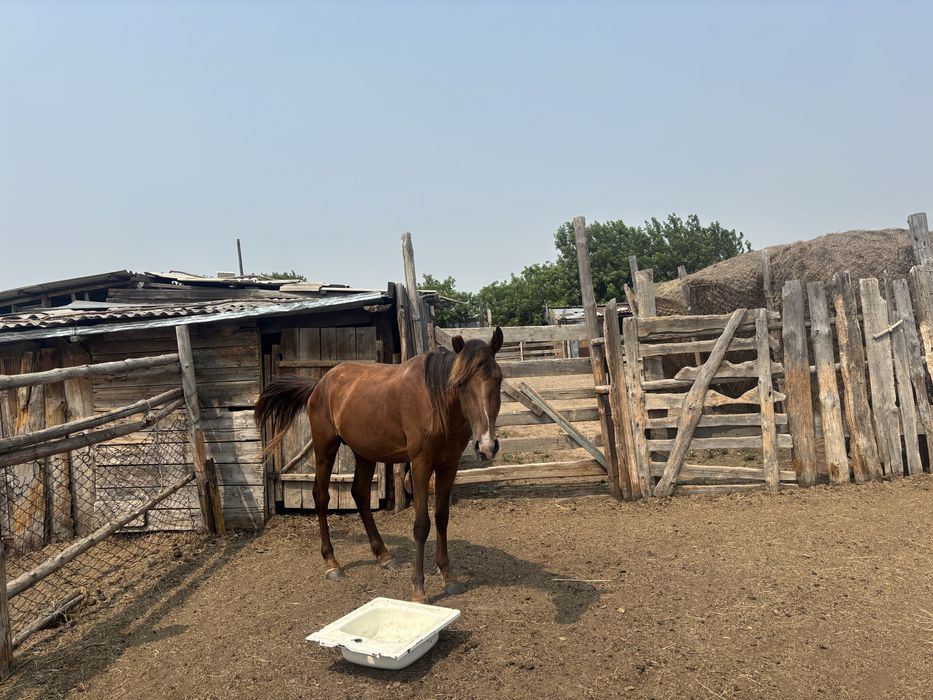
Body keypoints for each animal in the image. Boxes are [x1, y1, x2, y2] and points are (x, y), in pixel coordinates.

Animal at [255, 327, 504, 602]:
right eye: (460, 383)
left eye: (499, 380)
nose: (486, 445)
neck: (435, 401)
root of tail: (320, 384)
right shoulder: (420, 464)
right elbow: (421, 525)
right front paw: (419, 589)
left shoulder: (449, 465)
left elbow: (441, 518)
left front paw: (448, 576)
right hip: (325, 447)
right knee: (321, 496)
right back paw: (332, 563)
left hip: (364, 453)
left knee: (360, 494)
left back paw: (383, 555)